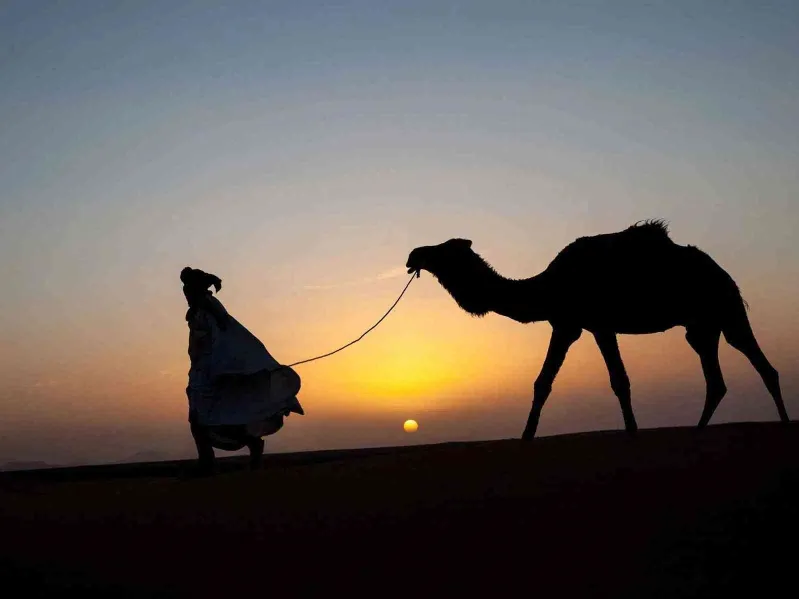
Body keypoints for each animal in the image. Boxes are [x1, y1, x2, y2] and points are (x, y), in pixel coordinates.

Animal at [405, 220, 790, 440]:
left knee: (763, 366)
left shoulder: (591, 325)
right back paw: (697, 433)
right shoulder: (572, 324)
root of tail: (724, 273)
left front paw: (632, 432)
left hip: (726, 309)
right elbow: (544, 382)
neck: (548, 286)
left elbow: (617, 381)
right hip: (700, 327)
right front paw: (527, 435)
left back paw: (784, 424)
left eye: (444, 250)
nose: (413, 255)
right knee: (716, 379)